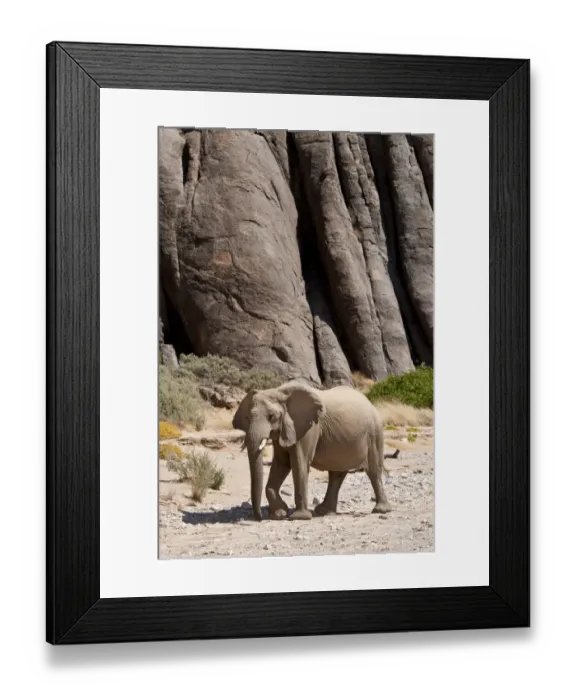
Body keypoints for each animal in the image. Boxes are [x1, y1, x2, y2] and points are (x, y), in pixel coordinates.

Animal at [232, 380, 393, 521]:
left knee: (373, 470)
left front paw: (299, 517)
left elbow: (299, 464)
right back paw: (324, 511)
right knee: (337, 473)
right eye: (247, 418)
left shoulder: (309, 428)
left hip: (374, 432)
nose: (258, 518)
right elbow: (281, 464)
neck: (280, 391)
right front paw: (279, 514)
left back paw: (381, 510)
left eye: (272, 417)